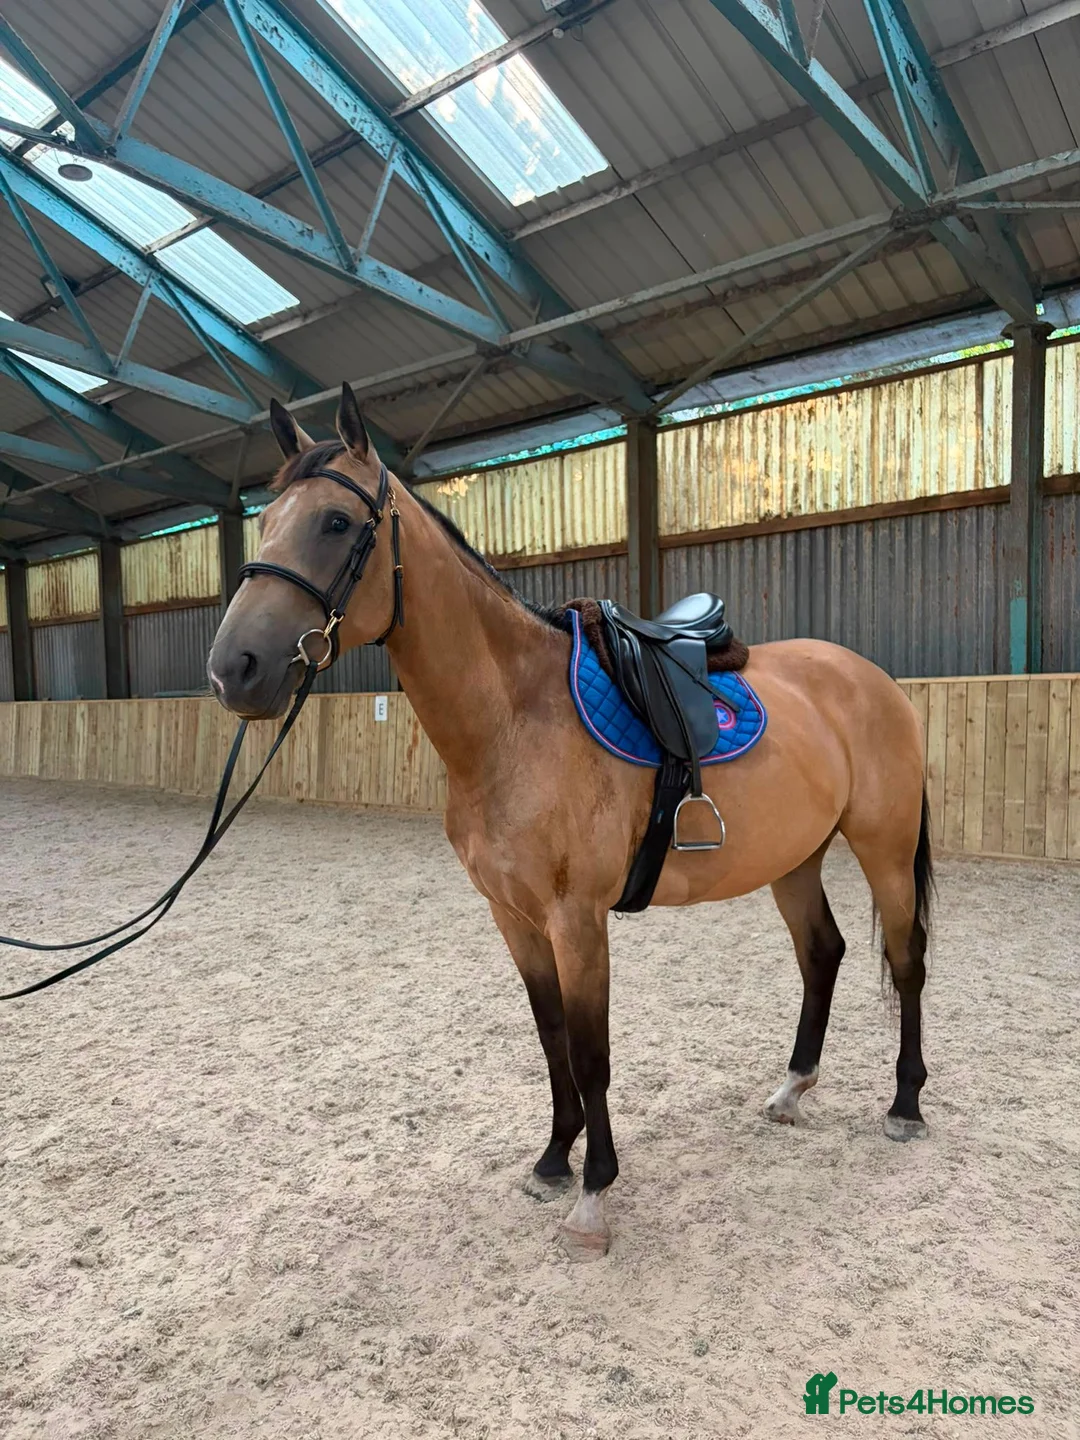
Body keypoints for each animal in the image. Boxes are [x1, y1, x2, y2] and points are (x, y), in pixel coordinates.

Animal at [207, 383, 933, 1261]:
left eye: (337, 522)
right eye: (266, 523)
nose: (233, 669)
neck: (515, 719)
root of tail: (872, 679)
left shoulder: (577, 919)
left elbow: (591, 1055)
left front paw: (594, 1195)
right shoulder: (514, 917)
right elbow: (551, 1037)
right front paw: (555, 1158)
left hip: (884, 848)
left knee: (906, 961)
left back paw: (905, 1106)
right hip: (794, 857)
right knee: (822, 954)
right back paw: (792, 1089)